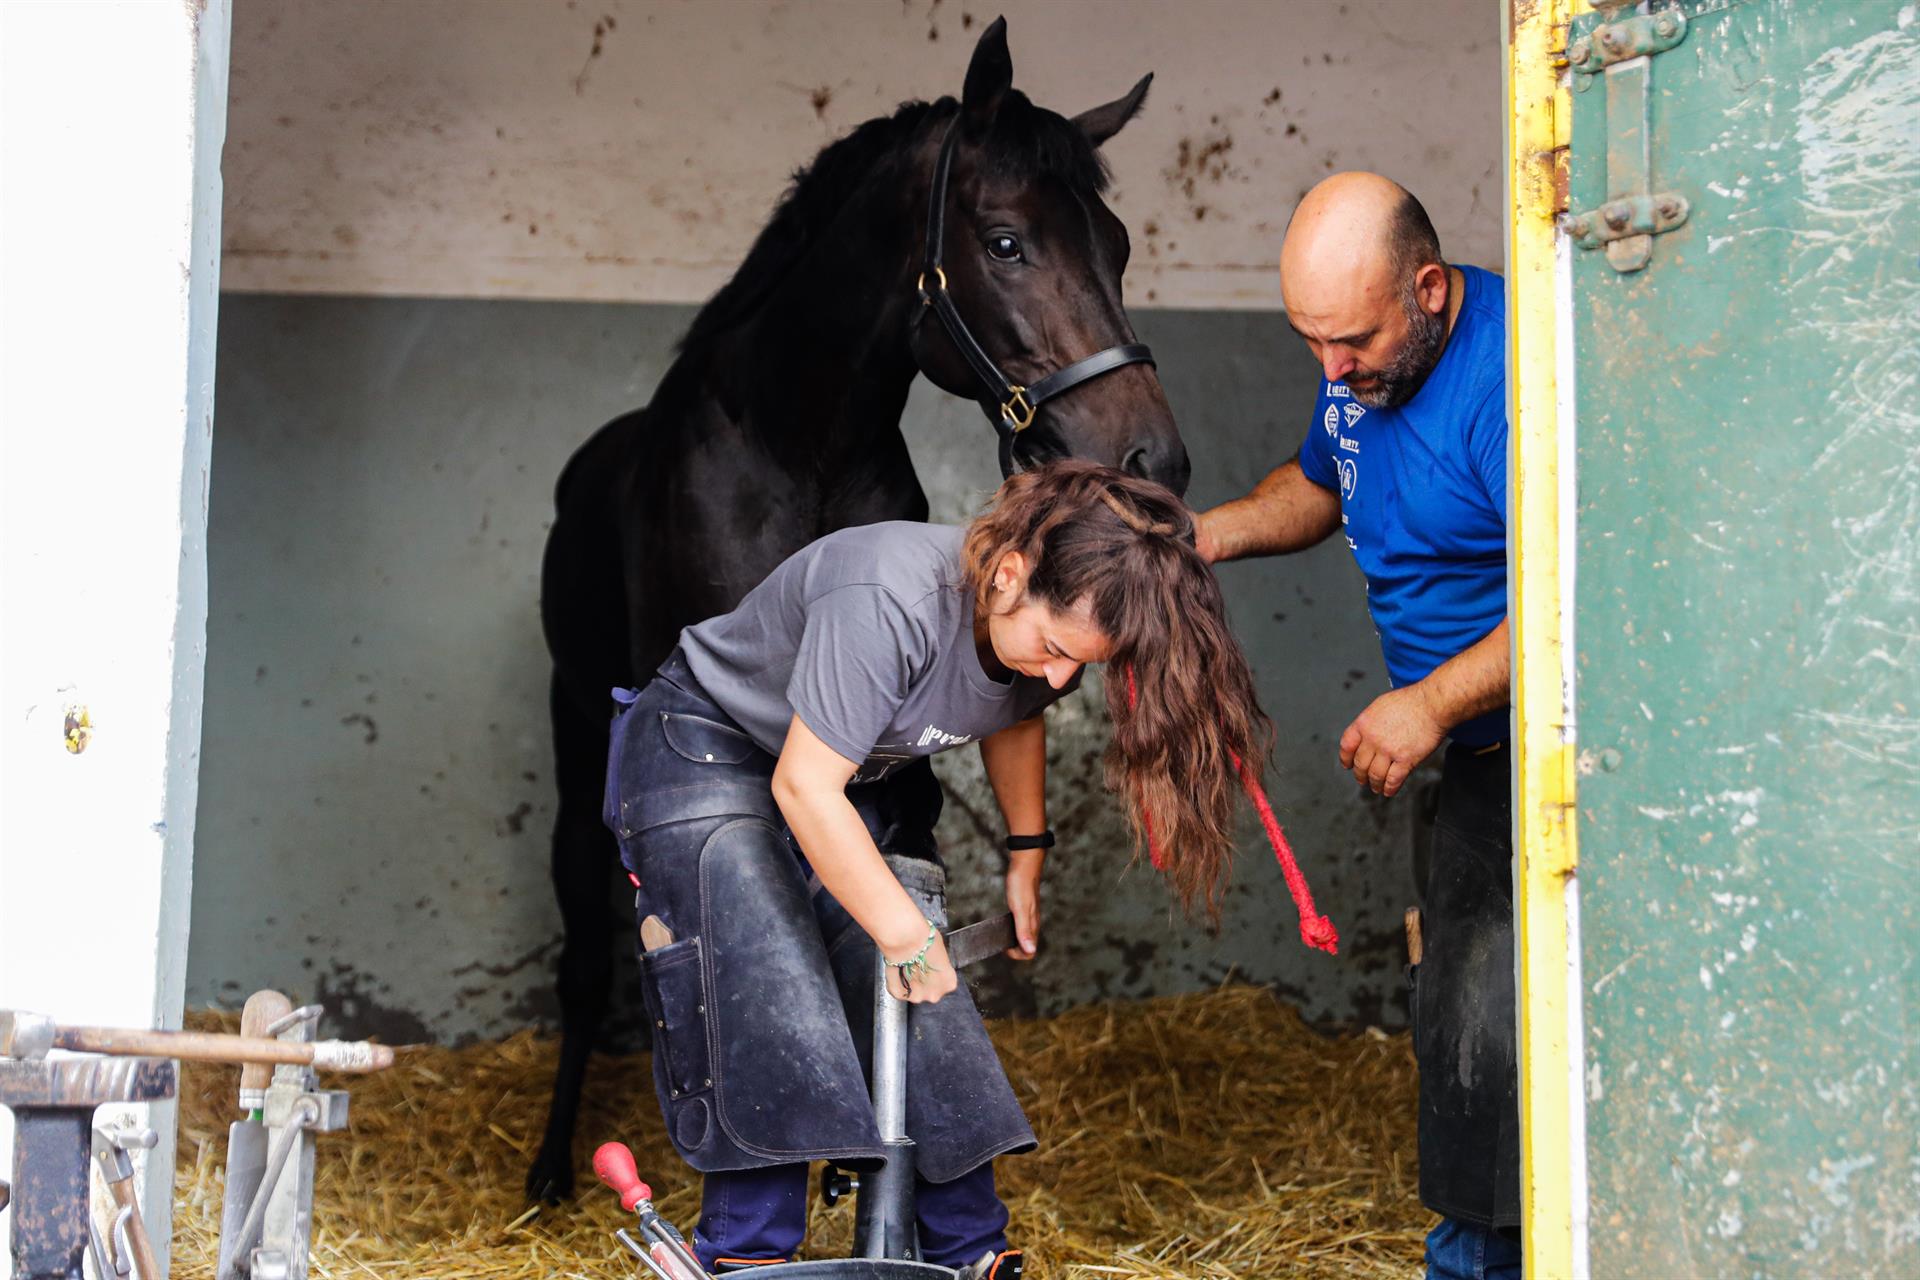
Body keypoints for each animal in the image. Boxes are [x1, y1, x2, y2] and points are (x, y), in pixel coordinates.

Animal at [526, 17, 1182, 1205]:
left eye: (1116, 244)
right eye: (1007, 242)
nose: (1154, 462)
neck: (799, 447)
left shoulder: (890, 768)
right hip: (575, 737)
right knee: (588, 955)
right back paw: (552, 1165)